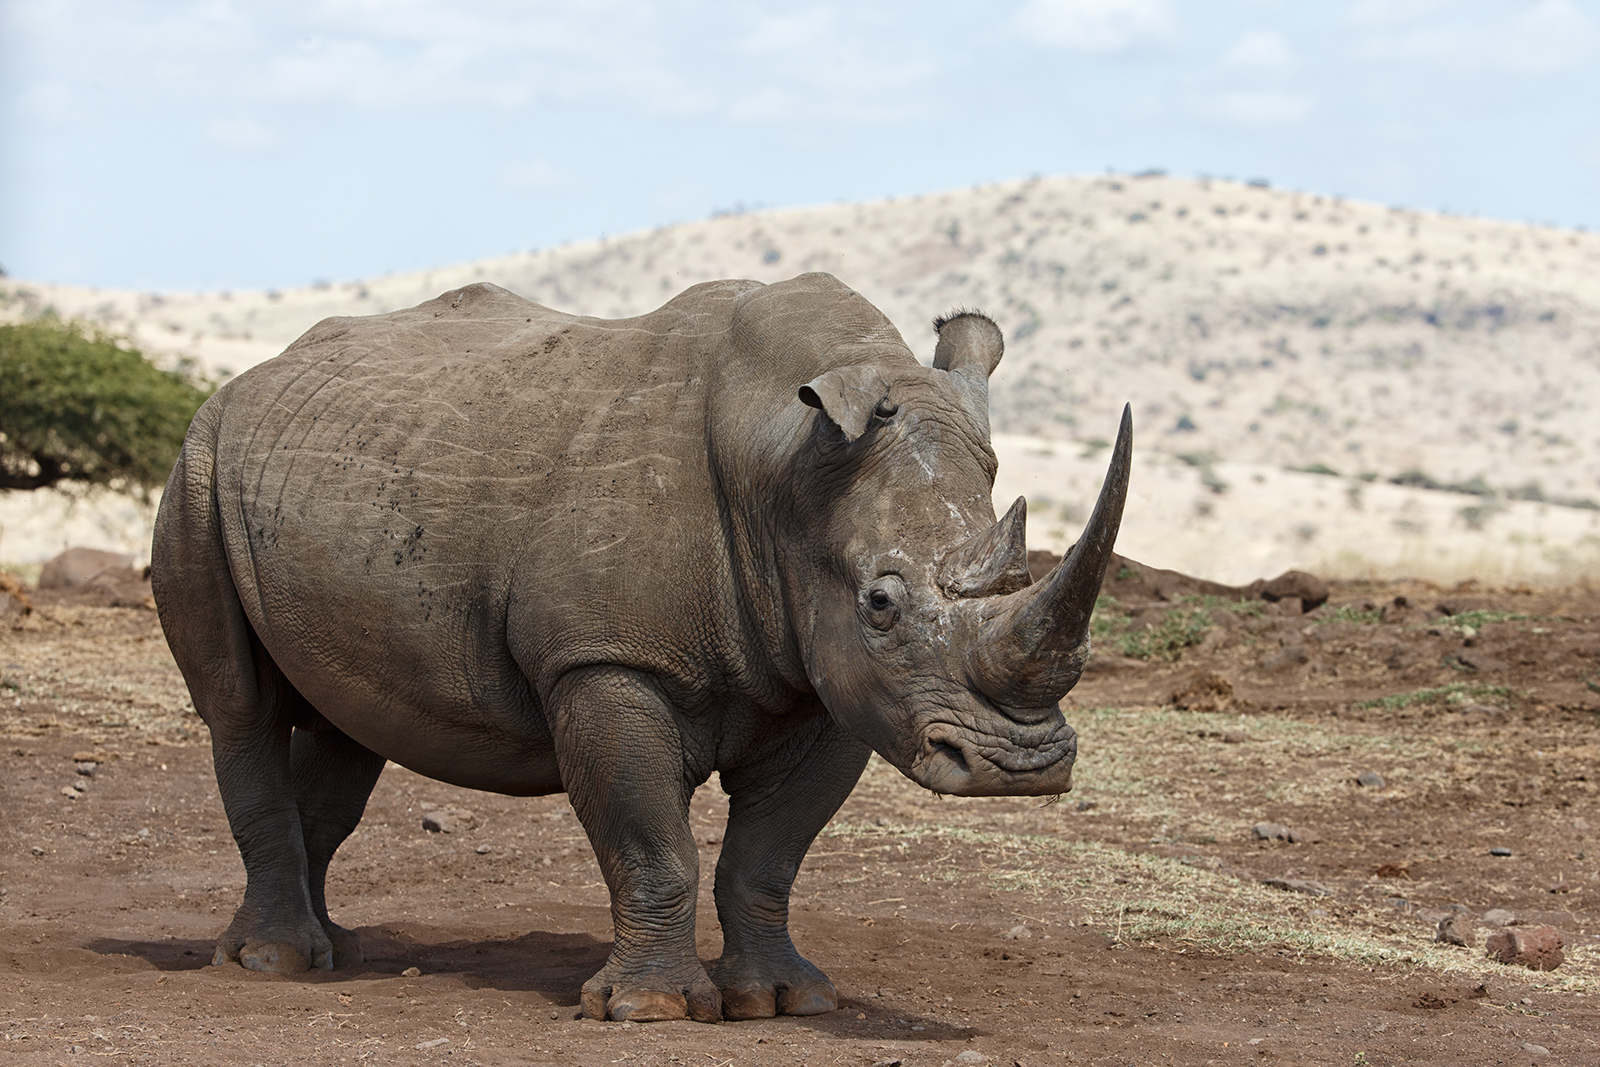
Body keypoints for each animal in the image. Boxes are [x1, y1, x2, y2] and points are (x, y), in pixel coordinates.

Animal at [150, 272, 1131, 1023]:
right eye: (881, 603)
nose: (1022, 767)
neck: (786, 461)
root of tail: (249, 378)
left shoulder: (830, 683)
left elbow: (767, 854)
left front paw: (786, 1002)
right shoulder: (608, 659)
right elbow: (653, 843)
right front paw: (651, 1010)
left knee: (346, 725)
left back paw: (335, 949)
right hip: (197, 461)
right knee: (238, 710)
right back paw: (273, 962)